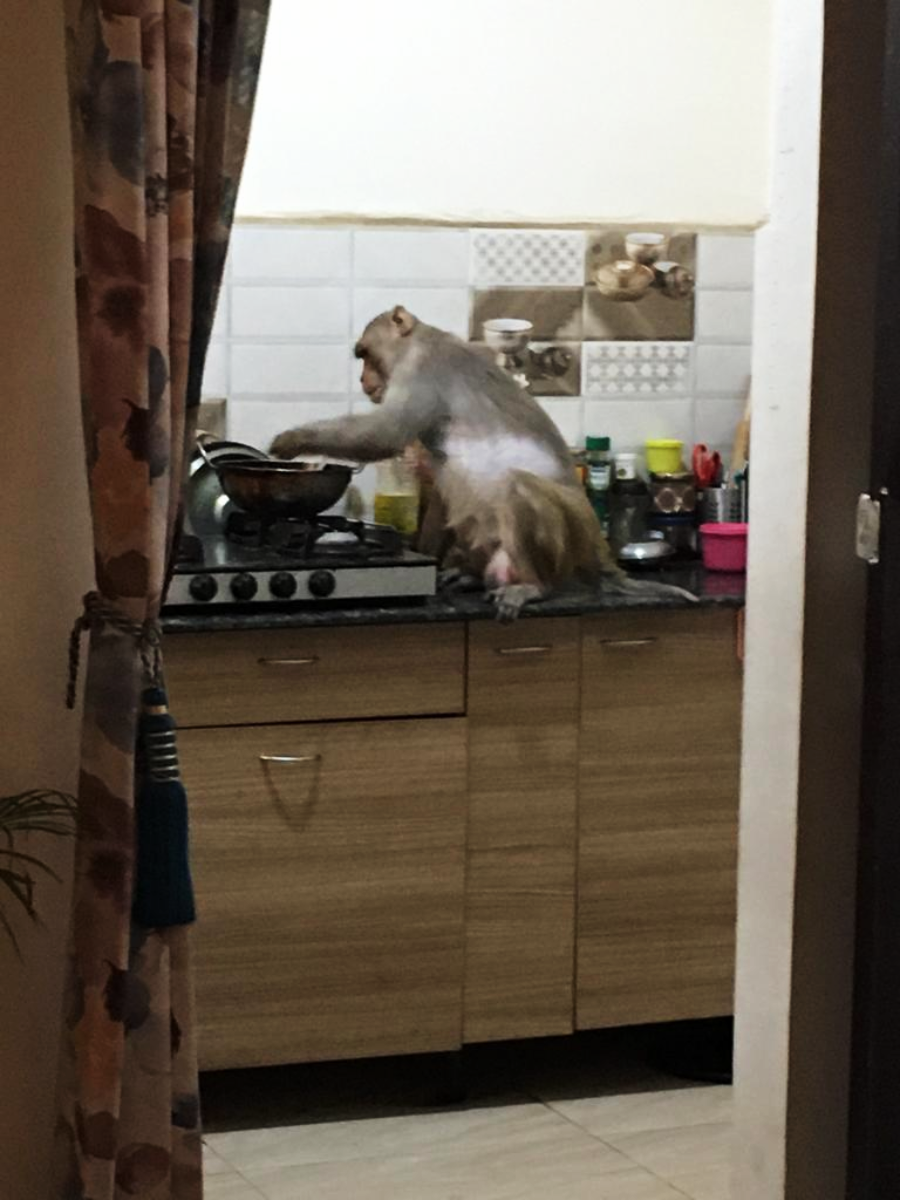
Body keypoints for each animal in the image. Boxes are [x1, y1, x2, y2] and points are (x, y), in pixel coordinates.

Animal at [269, 307, 697, 620]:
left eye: (365, 355)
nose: (363, 380)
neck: (418, 340)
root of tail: (595, 545)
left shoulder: (424, 368)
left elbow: (385, 433)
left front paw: (291, 440)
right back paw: (473, 577)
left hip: (566, 540)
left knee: (516, 487)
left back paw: (534, 586)